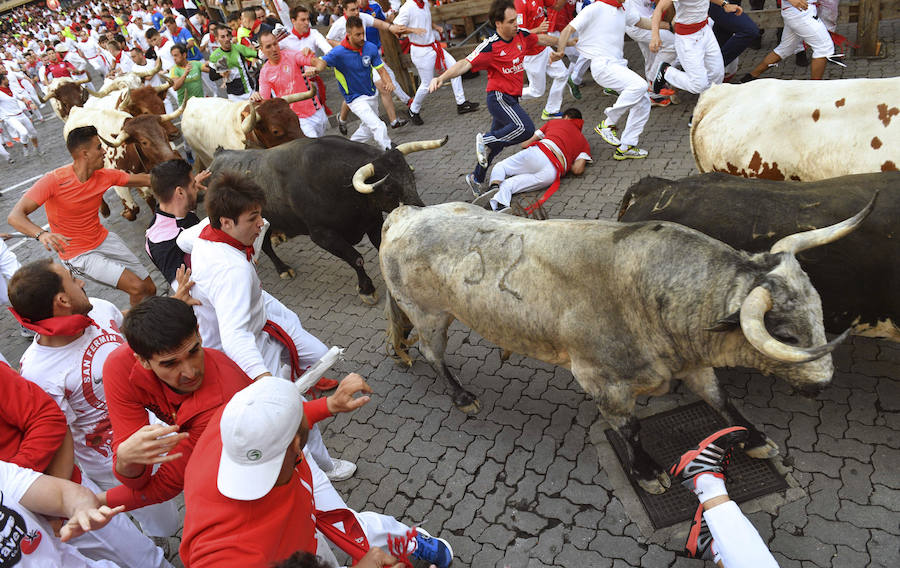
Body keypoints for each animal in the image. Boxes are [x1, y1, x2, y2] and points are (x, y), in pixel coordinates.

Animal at [210, 136, 446, 304]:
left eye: (410, 176)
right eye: (388, 189)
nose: (420, 211)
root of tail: (218, 158)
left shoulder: (372, 222)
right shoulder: (322, 235)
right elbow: (356, 259)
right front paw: (366, 289)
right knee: (266, 245)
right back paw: (283, 269)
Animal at [382, 201, 872, 492]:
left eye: (819, 311)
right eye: (785, 336)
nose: (823, 382)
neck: (644, 289)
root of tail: (403, 215)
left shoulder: (690, 363)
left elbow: (721, 400)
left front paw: (754, 439)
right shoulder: (602, 381)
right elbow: (630, 428)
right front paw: (648, 472)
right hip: (430, 316)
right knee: (433, 354)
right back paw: (461, 395)